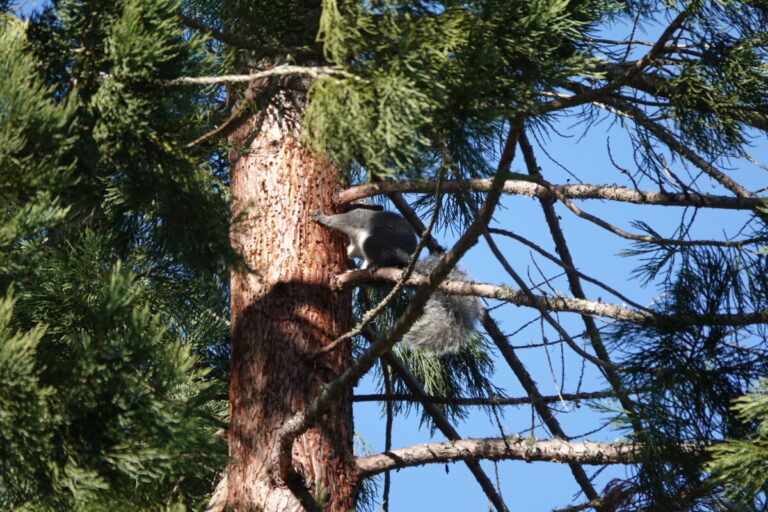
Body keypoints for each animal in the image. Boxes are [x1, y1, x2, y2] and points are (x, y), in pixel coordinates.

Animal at [310, 201, 480, 356]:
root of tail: (405, 261)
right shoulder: (357, 246)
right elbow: (352, 249)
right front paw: (348, 254)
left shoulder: (357, 217)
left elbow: (341, 220)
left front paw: (321, 217)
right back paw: (357, 272)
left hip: (374, 243)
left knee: (382, 256)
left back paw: (375, 265)